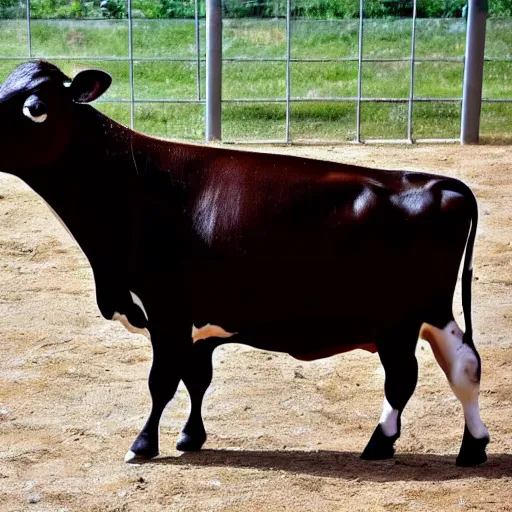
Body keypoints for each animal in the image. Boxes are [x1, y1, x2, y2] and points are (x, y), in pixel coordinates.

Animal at [0, 61, 490, 468]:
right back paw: (473, 447)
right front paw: (190, 437)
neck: (133, 183)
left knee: (404, 378)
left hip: (398, 321)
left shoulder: (167, 311)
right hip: (433, 314)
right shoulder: (197, 325)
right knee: (465, 365)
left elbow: (162, 381)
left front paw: (143, 445)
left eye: (35, 107)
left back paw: (381, 442)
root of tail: (438, 183)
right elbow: (197, 379)